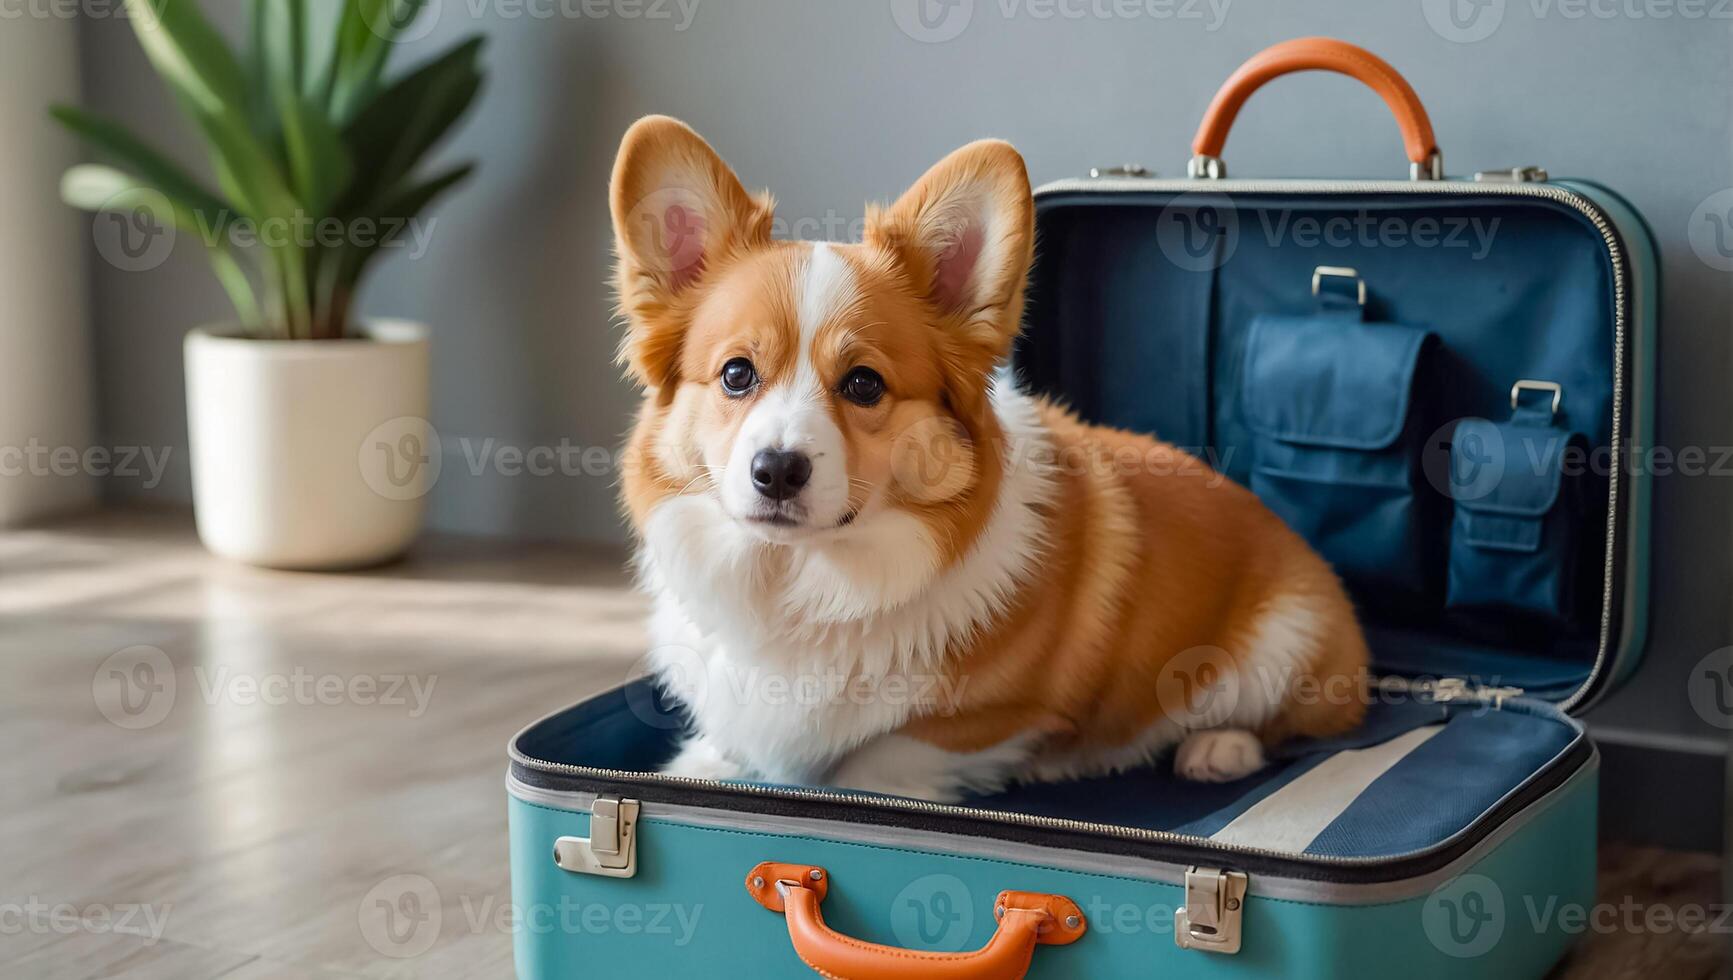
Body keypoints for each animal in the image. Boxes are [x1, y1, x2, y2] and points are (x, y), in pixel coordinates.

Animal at [610, 114, 1365, 801]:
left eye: (864, 384)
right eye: (736, 374)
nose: (776, 471)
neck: (800, 581)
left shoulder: (982, 723)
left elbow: (874, 761)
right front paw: (704, 763)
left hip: (1281, 644)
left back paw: (1216, 749)